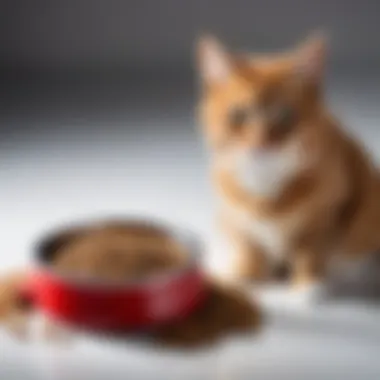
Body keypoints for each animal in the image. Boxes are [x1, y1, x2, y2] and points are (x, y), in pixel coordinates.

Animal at [196, 32, 380, 300]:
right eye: (239, 116)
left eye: (284, 115)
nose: (260, 143)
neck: (266, 189)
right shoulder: (238, 221)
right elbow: (251, 250)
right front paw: (244, 277)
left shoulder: (326, 217)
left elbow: (310, 253)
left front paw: (307, 287)